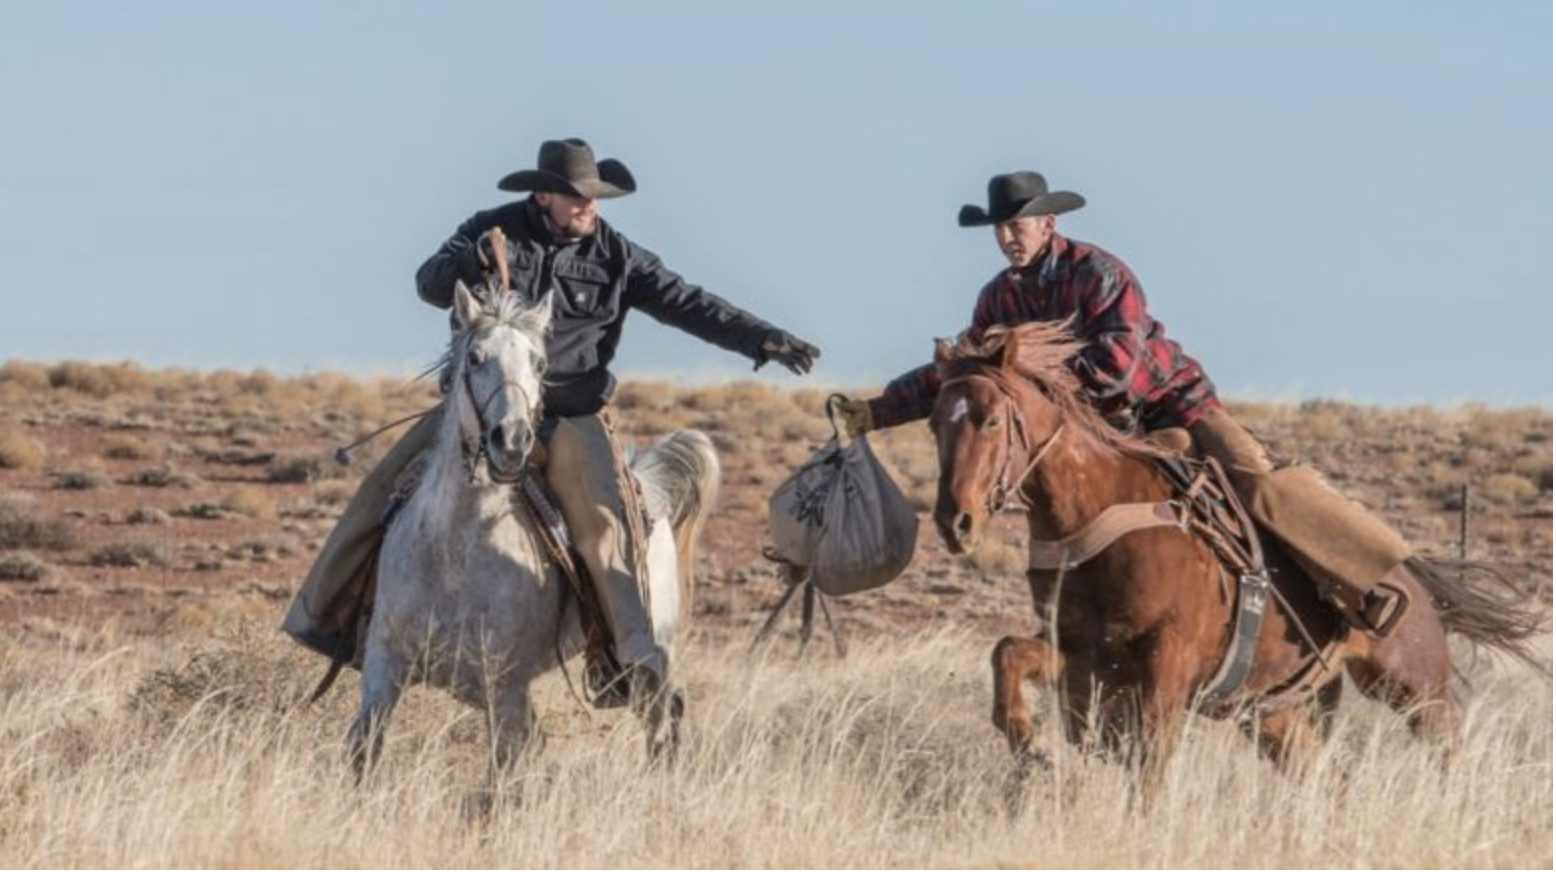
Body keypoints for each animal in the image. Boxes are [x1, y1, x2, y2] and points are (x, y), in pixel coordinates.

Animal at [350, 284, 718, 775]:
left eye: (540, 364)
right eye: (475, 358)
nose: (511, 440)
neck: (453, 554)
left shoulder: (505, 688)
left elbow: (502, 775)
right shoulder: (384, 666)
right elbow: (364, 752)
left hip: (651, 654)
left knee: (663, 715)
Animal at [921, 323, 1543, 787]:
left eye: (991, 419)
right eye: (934, 424)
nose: (956, 521)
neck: (1100, 510)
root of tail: (1413, 577)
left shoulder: (1168, 666)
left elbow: (1150, 766)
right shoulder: (1087, 656)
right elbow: (1007, 654)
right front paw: (1032, 744)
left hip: (1414, 686)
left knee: (1445, 748)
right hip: (1276, 715)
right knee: (1324, 780)